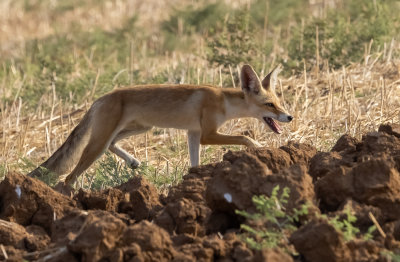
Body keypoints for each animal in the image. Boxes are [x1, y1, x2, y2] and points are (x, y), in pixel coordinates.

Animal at [27, 64, 290, 185]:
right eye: (270, 105)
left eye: (279, 103)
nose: (289, 118)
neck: (223, 101)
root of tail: (99, 99)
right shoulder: (207, 133)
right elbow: (244, 137)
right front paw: (257, 147)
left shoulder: (193, 133)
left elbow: (194, 163)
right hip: (98, 145)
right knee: (69, 178)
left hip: (140, 128)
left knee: (113, 144)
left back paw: (133, 161)